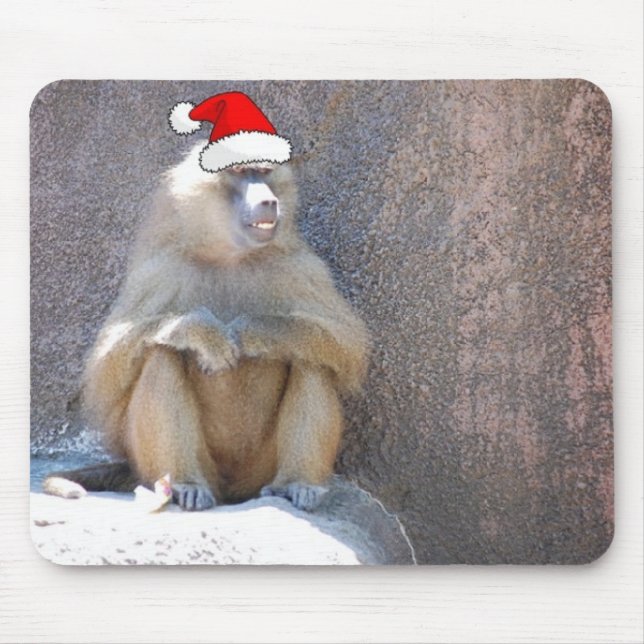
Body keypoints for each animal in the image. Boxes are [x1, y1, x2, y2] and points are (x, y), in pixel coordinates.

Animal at [44, 143, 369, 512]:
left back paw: (297, 484)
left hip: (258, 472)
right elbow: (106, 373)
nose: (269, 201)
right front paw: (203, 333)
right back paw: (187, 485)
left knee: (311, 358)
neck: (229, 255)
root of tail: (231, 490)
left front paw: (252, 332)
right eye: (240, 172)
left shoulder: (300, 265)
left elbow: (347, 344)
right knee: (160, 354)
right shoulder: (160, 269)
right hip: (165, 464)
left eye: (264, 172)